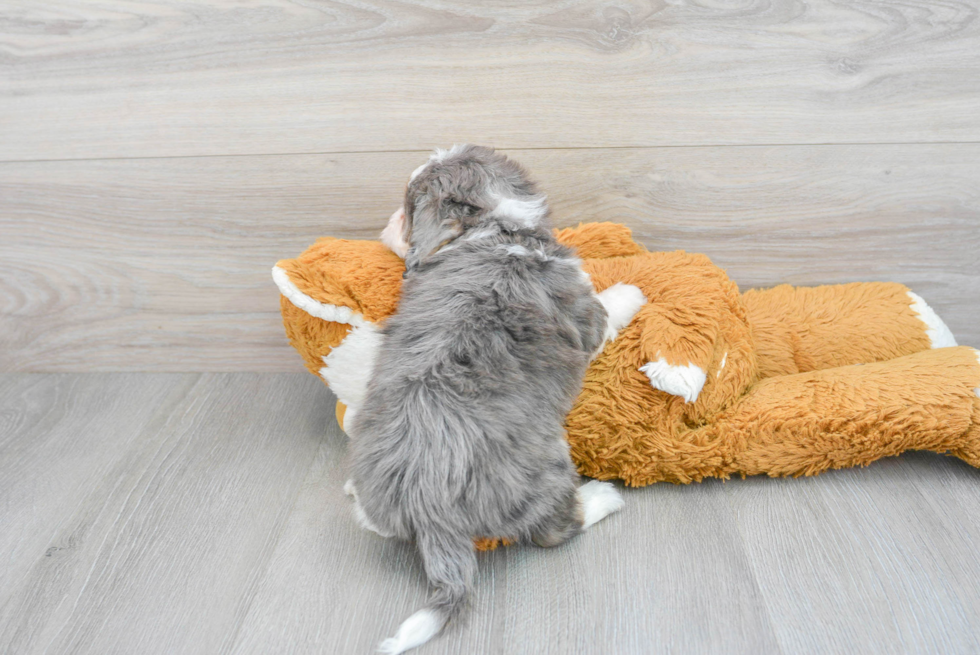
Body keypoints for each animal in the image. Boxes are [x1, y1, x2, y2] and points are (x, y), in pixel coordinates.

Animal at [348, 145, 648, 655]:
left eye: (407, 207)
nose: (386, 222)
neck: (496, 228)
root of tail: (428, 502)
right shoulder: (586, 315)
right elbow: (609, 306)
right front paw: (632, 290)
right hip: (545, 469)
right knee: (553, 530)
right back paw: (601, 498)